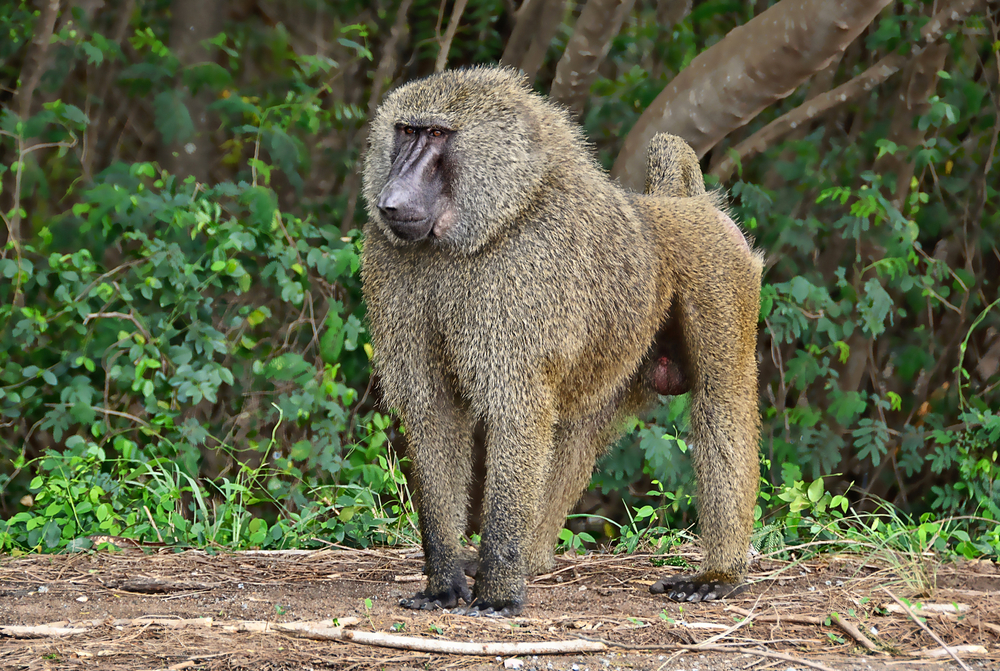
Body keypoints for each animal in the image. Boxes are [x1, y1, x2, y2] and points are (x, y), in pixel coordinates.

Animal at [360, 66, 763, 615]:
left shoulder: (521, 276)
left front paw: (498, 594)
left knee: (722, 401)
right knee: (579, 429)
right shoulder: (390, 265)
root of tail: (683, 207)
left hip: (720, 272)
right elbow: (432, 409)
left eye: (438, 134)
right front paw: (444, 583)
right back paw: (532, 559)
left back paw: (720, 575)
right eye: (406, 131)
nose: (392, 200)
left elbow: (515, 411)